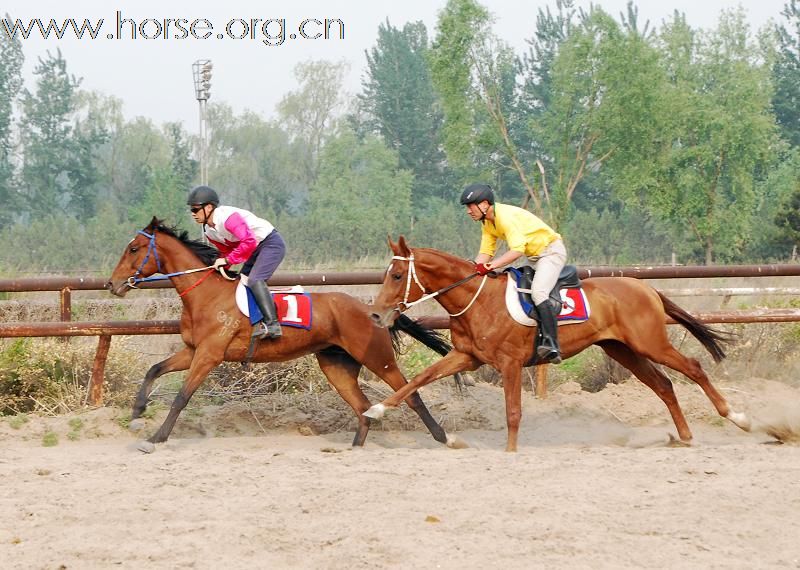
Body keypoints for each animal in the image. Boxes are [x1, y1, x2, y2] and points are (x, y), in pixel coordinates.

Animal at [104, 220, 462, 450]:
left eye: (133, 248)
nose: (113, 284)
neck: (205, 295)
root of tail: (370, 309)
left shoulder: (208, 355)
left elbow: (182, 397)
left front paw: (156, 438)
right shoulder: (193, 351)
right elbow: (154, 369)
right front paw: (137, 411)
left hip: (378, 358)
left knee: (410, 394)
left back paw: (444, 438)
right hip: (336, 365)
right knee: (362, 407)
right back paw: (355, 448)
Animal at [366, 235, 752, 448]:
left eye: (396, 275)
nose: (377, 316)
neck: (477, 299)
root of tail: (645, 287)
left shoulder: (510, 364)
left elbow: (513, 412)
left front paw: (510, 453)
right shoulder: (466, 356)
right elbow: (418, 379)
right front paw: (376, 409)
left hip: (650, 343)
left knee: (694, 368)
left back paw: (737, 417)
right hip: (623, 351)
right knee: (664, 385)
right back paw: (684, 437)